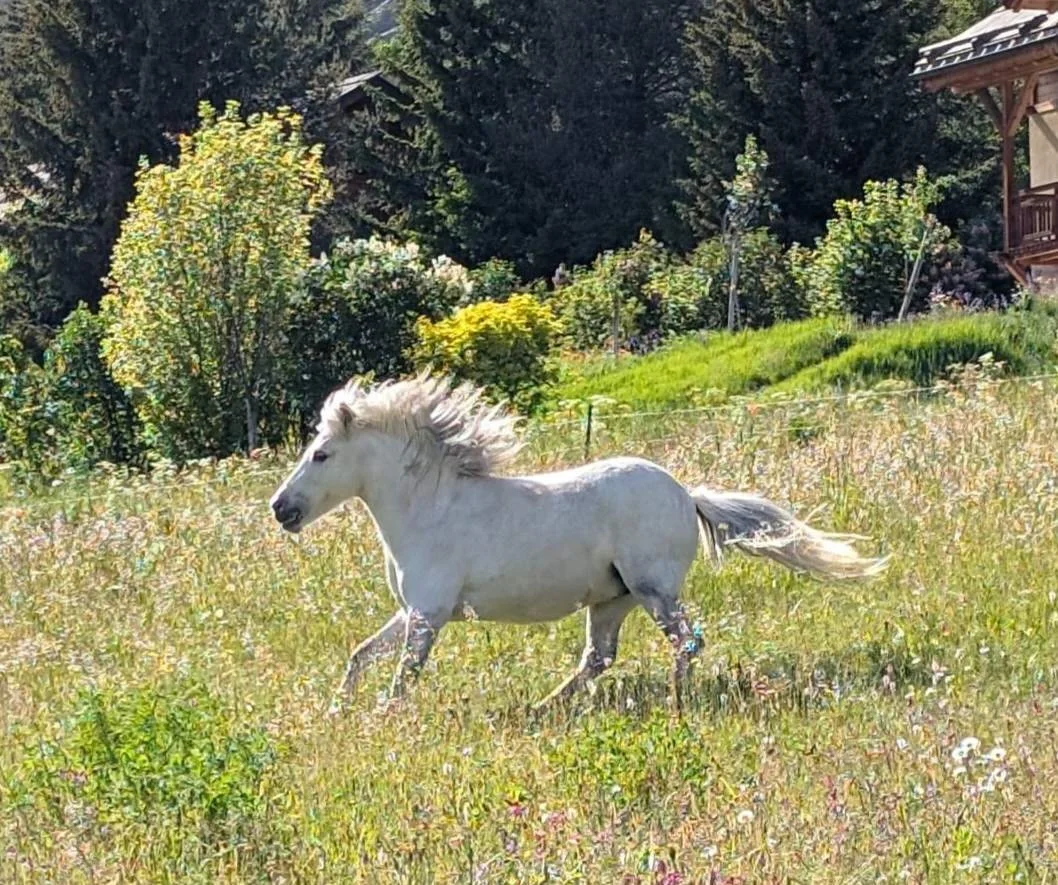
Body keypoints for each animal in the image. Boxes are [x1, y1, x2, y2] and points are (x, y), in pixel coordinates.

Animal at [269, 373, 888, 712]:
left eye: (321, 454)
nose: (281, 510)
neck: (431, 510)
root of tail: (686, 494)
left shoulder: (429, 614)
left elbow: (403, 677)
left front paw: (382, 717)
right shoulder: (412, 611)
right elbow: (360, 655)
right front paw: (337, 711)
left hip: (653, 590)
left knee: (686, 642)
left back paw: (674, 701)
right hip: (611, 600)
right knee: (600, 657)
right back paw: (545, 705)